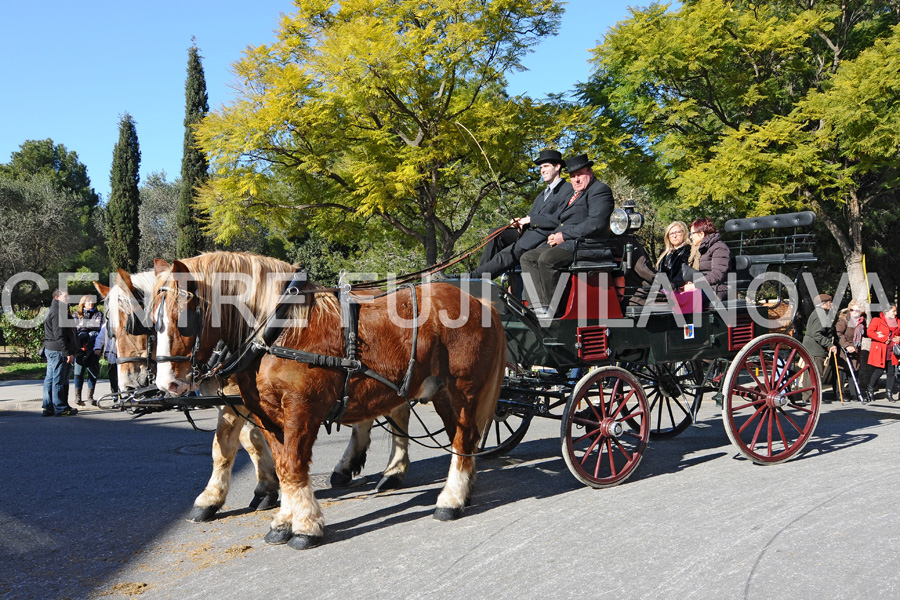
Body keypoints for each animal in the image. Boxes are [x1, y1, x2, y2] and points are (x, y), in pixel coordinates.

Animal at [151, 251, 510, 552]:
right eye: (153, 321)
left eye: (183, 319)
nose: (166, 383)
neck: (280, 329)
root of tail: (480, 302)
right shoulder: (267, 415)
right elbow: (277, 465)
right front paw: (283, 521)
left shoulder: (300, 411)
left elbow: (293, 466)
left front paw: (305, 526)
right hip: (441, 393)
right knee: (460, 438)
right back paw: (458, 489)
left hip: (462, 391)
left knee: (462, 438)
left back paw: (450, 499)